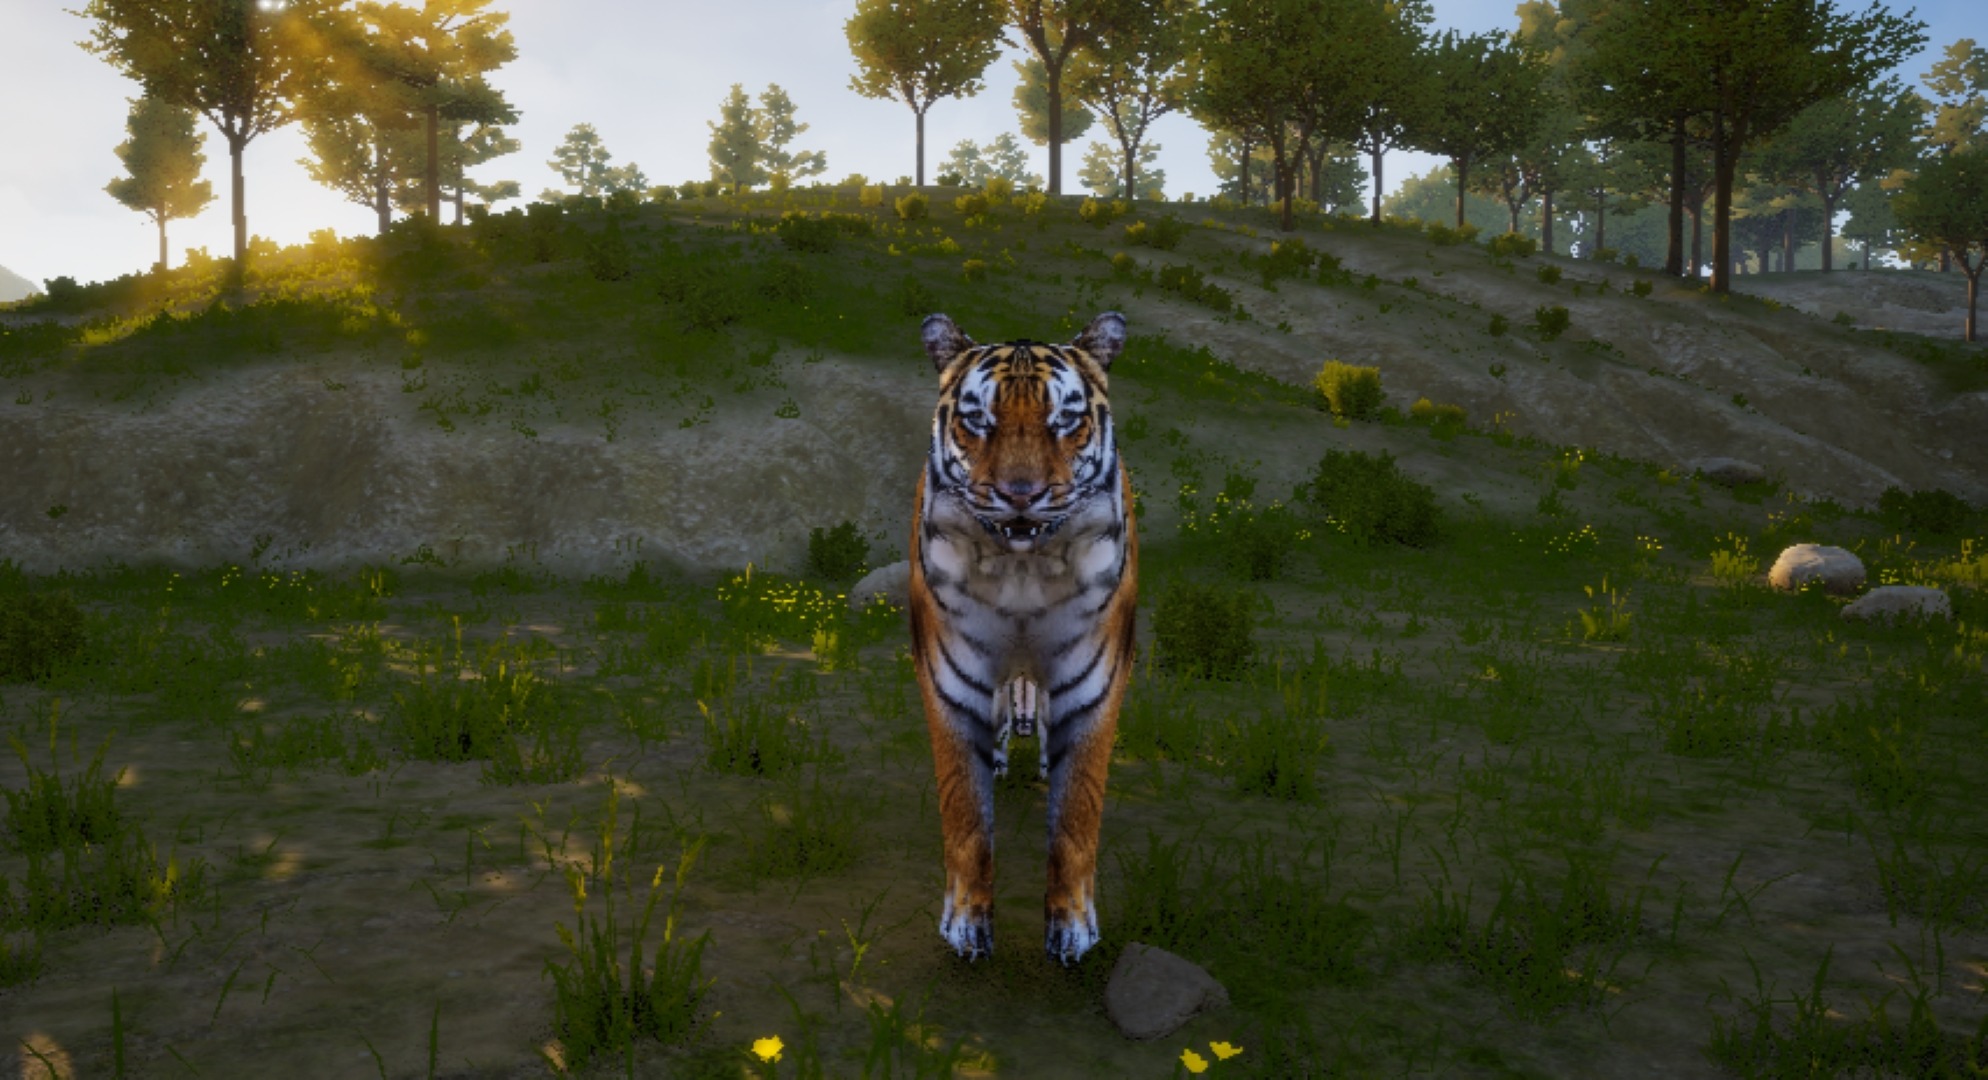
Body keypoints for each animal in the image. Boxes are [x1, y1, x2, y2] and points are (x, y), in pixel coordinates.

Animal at [907, 310, 1138, 967]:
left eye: (1065, 420)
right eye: (977, 420)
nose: (1020, 494)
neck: (1022, 570)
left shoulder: (1092, 682)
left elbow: (1076, 815)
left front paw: (1072, 931)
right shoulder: (953, 677)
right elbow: (965, 811)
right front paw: (966, 926)